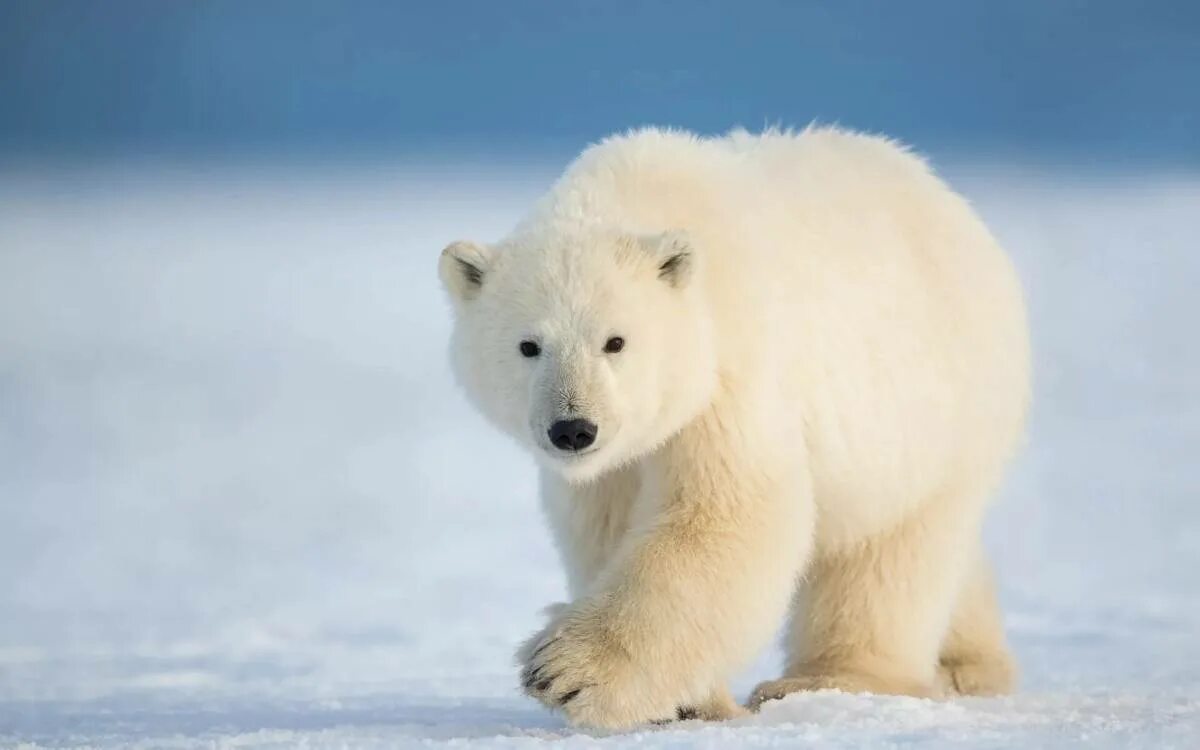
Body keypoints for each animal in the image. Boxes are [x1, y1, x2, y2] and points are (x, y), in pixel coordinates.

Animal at [441, 126, 1032, 729]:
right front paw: (686, 701)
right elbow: (606, 531)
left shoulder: (731, 374)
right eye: (528, 346)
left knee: (890, 552)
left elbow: (727, 515)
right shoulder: (612, 467)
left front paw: (566, 672)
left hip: (933, 414)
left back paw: (832, 677)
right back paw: (967, 663)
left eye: (615, 341)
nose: (573, 429)